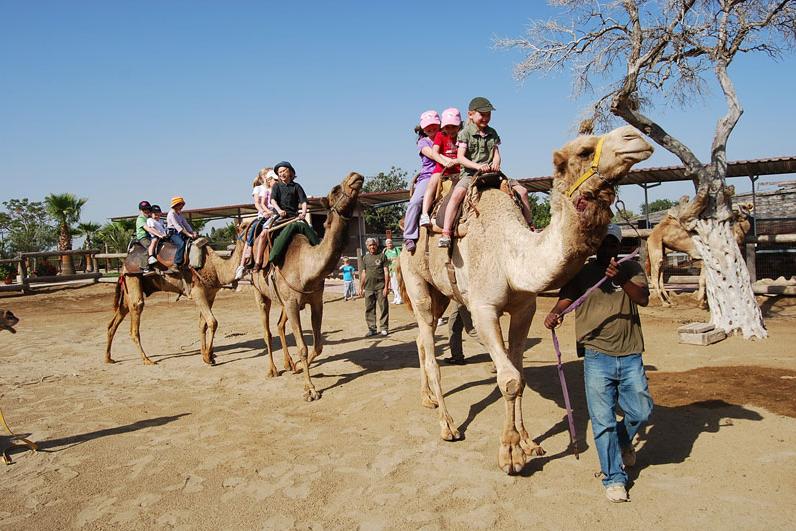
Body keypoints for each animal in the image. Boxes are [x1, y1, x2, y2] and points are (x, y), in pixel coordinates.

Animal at [104, 231, 246, 368]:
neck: (216, 267)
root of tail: (125, 262)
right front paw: (208, 358)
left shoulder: (210, 294)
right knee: (136, 311)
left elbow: (203, 324)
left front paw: (207, 355)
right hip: (133, 277)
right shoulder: (197, 291)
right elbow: (212, 322)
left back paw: (108, 358)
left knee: (116, 318)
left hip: (128, 288)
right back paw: (147, 360)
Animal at [252, 172, 364, 402]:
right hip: (260, 293)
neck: (306, 268)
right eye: (334, 189)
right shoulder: (293, 303)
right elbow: (303, 347)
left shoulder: (314, 300)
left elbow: (318, 345)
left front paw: (298, 367)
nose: (355, 176)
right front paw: (310, 389)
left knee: (279, 325)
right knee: (267, 331)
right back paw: (273, 370)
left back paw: (288, 364)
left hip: (283, 300)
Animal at [398, 127, 652, 476]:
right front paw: (510, 455)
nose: (635, 136)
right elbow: (508, 380)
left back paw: (428, 399)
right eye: (584, 151)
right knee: (427, 339)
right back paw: (448, 425)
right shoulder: (483, 309)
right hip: (416, 280)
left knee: (422, 340)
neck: (510, 254)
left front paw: (528, 442)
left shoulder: (524, 309)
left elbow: (520, 374)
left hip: (441, 294)